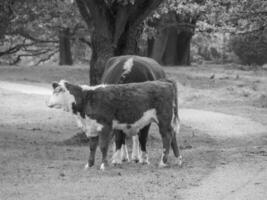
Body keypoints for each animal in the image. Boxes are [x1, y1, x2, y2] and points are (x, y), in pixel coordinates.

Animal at [47, 79, 183, 170]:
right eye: (53, 92)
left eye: (58, 91)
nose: (48, 104)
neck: (88, 99)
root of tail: (165, 83)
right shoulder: (91, 128)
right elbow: (92, 147)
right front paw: (89, 164)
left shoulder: (105, 126)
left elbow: (103, 146)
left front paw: (103, 165)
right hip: (168, 122)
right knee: (173, 137)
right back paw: (178, 160)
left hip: (163, 120)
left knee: (167, 137)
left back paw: (162, 162)